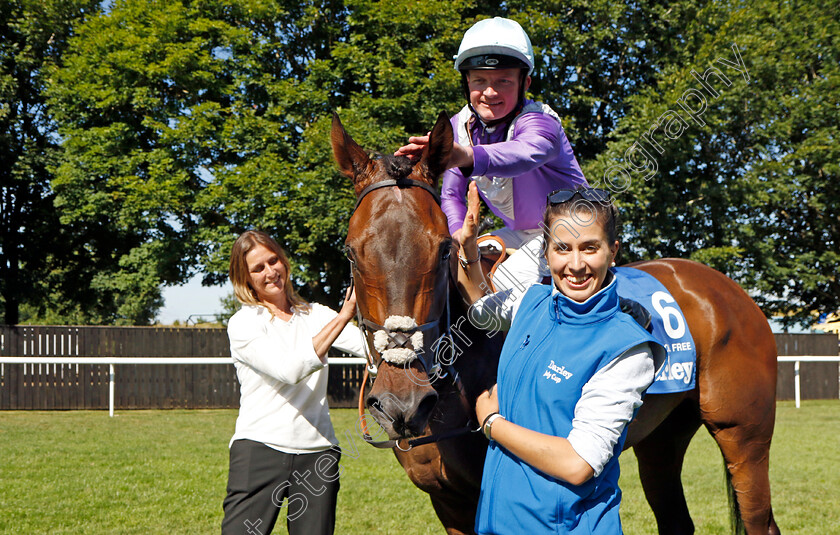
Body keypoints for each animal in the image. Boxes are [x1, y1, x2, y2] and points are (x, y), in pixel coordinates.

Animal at [330, 113, 780, 535]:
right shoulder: (446, 500)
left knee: (760, 518)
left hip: (744, 435)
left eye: (443, 250)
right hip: (662, 438)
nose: (401, 403)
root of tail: (727, 290)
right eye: (351, 252)